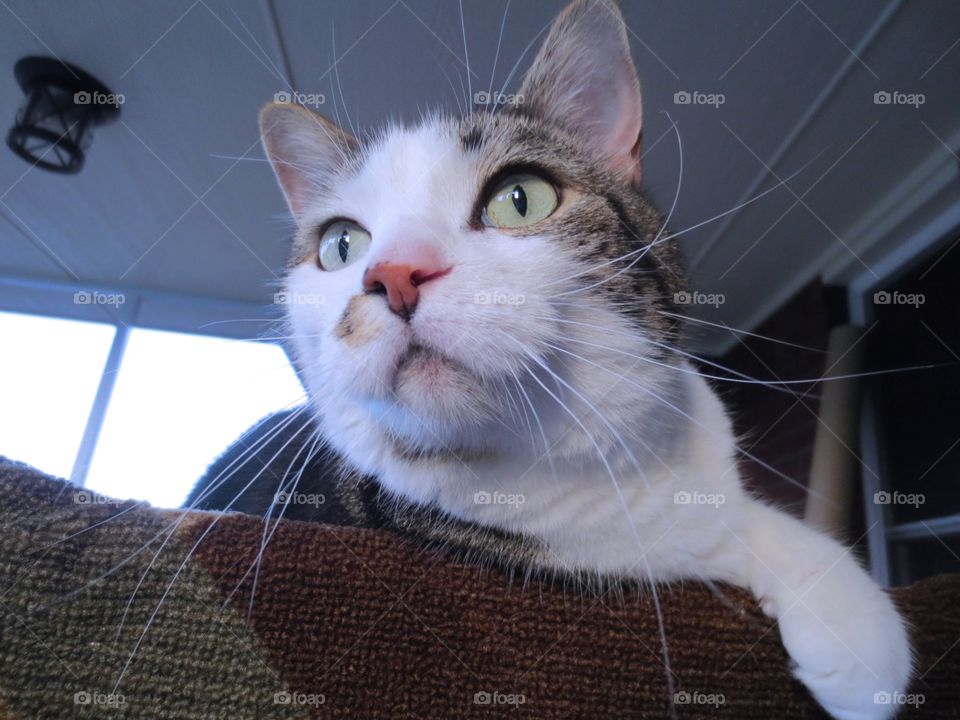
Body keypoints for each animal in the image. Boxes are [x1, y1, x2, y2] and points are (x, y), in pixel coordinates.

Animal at [189, 2, 916, 716]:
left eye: (520, 197)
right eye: (341, 245)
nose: (392, 275)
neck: (585, 458)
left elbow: (741, 516)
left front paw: (853, 620)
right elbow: (678, 549)